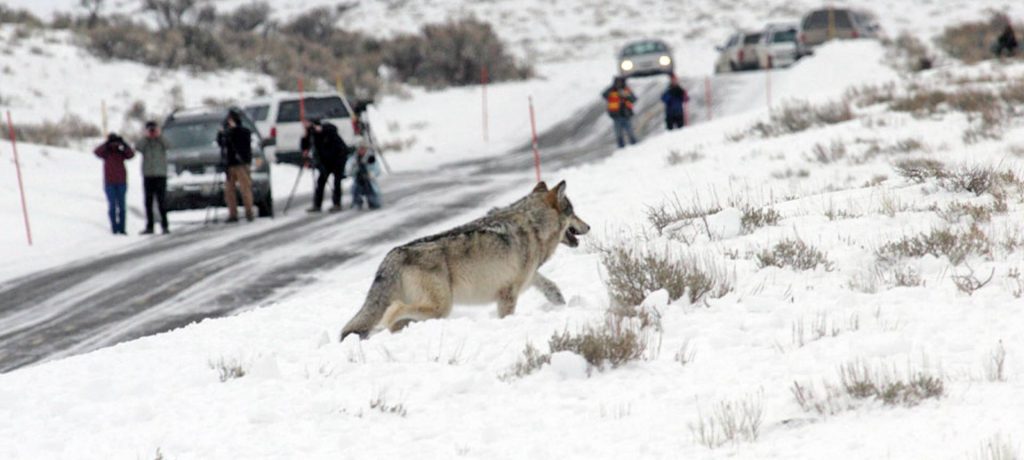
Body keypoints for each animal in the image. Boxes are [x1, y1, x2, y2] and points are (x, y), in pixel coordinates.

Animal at [339, 179, 589, 340]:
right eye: (574, 213)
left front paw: (560, 302)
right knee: (393, 312)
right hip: (441, 307)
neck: (533, 225)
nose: (588, 226)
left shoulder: (526, 279)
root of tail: (394, 253)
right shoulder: (508, 293)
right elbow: (507, 315)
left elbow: (549, 285)